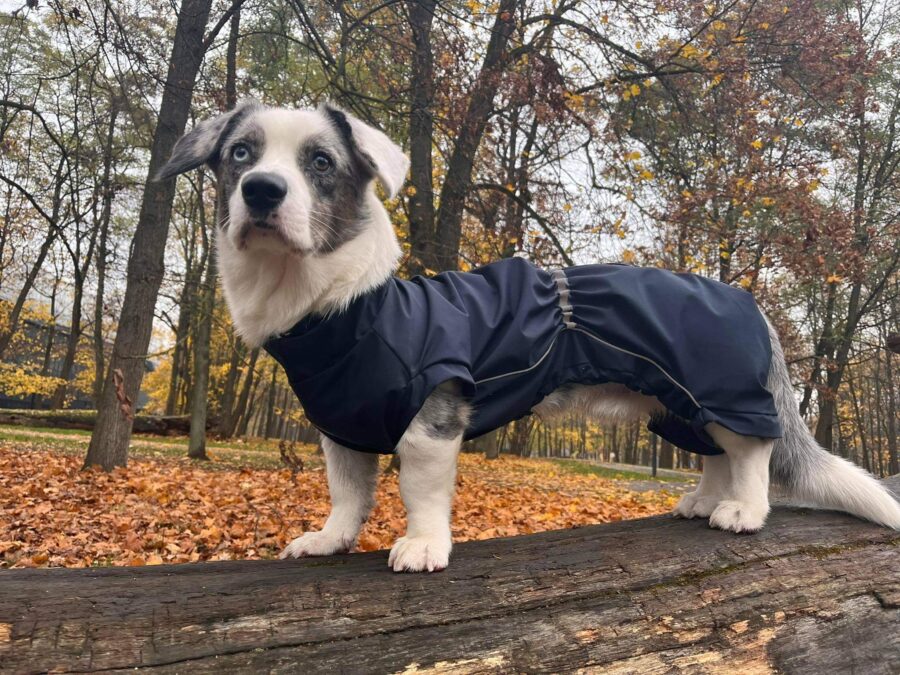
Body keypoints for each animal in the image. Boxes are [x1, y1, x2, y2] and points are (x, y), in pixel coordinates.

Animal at [160, 103, 900, 572]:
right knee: (716, 453)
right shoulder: (341, 429)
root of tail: (747, 300)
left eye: (320, 161)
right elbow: (348, 494)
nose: (262, 191)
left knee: (750, 453)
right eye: (240, 154)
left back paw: (742, 509)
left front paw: (422, 546)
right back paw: (702, 501)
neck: (340, 310)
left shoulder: (433, 421)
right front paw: (327, 539)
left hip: (719, 393)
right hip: (680, 407)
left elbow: (420, 493)